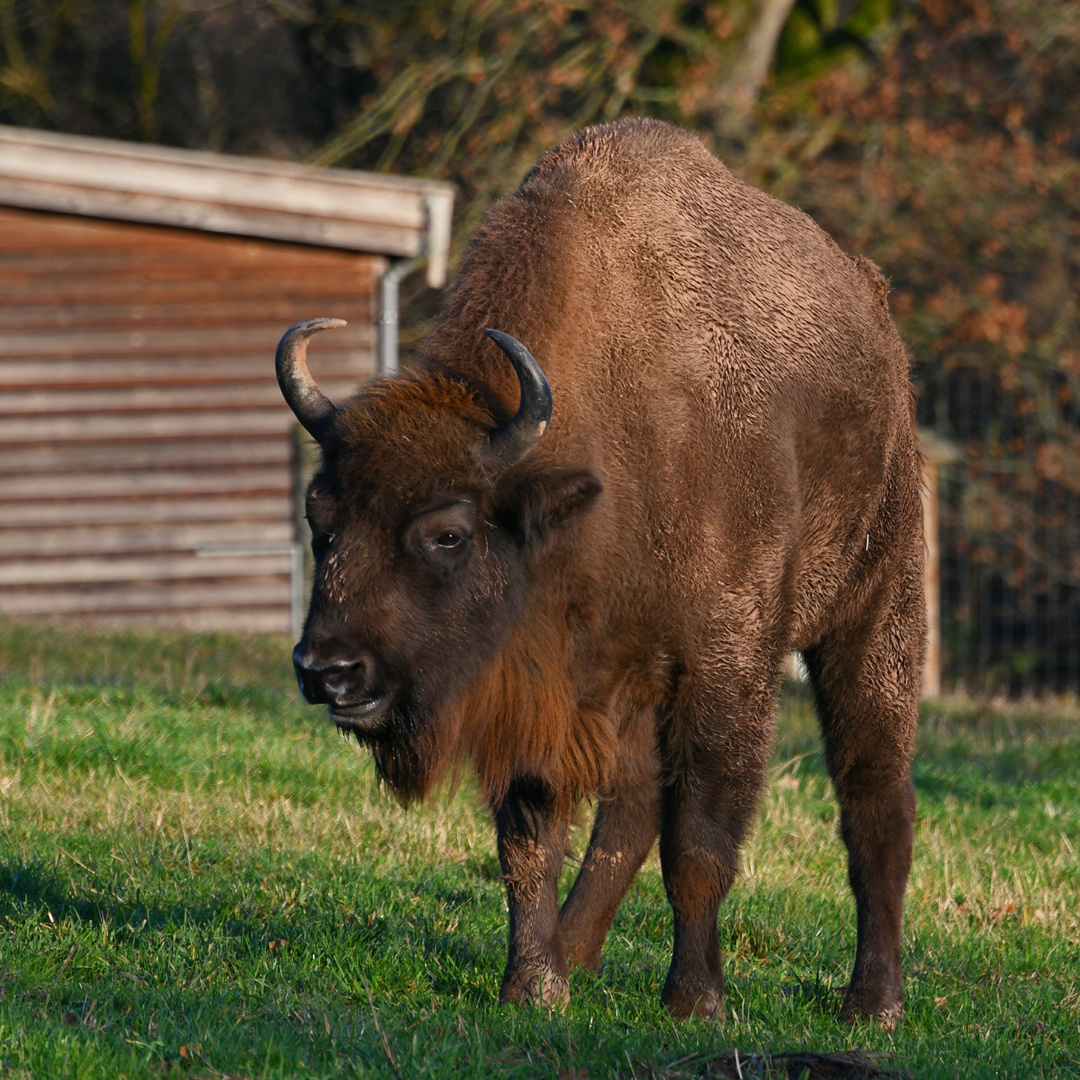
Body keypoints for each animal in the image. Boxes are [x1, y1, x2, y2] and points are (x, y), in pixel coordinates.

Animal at [276, 122, 920, 1023]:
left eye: (448, 533)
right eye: (320, 520)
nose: (329, 670)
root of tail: (878, 320)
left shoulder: (724, 670)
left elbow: (701, 840)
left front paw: (696, 1001)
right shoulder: (548, 685)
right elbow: (532, 837)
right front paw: (532, 986)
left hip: (876, 612)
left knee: (874, 800)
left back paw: (874, 1002)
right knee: (632, 809)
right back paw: (577, 956)